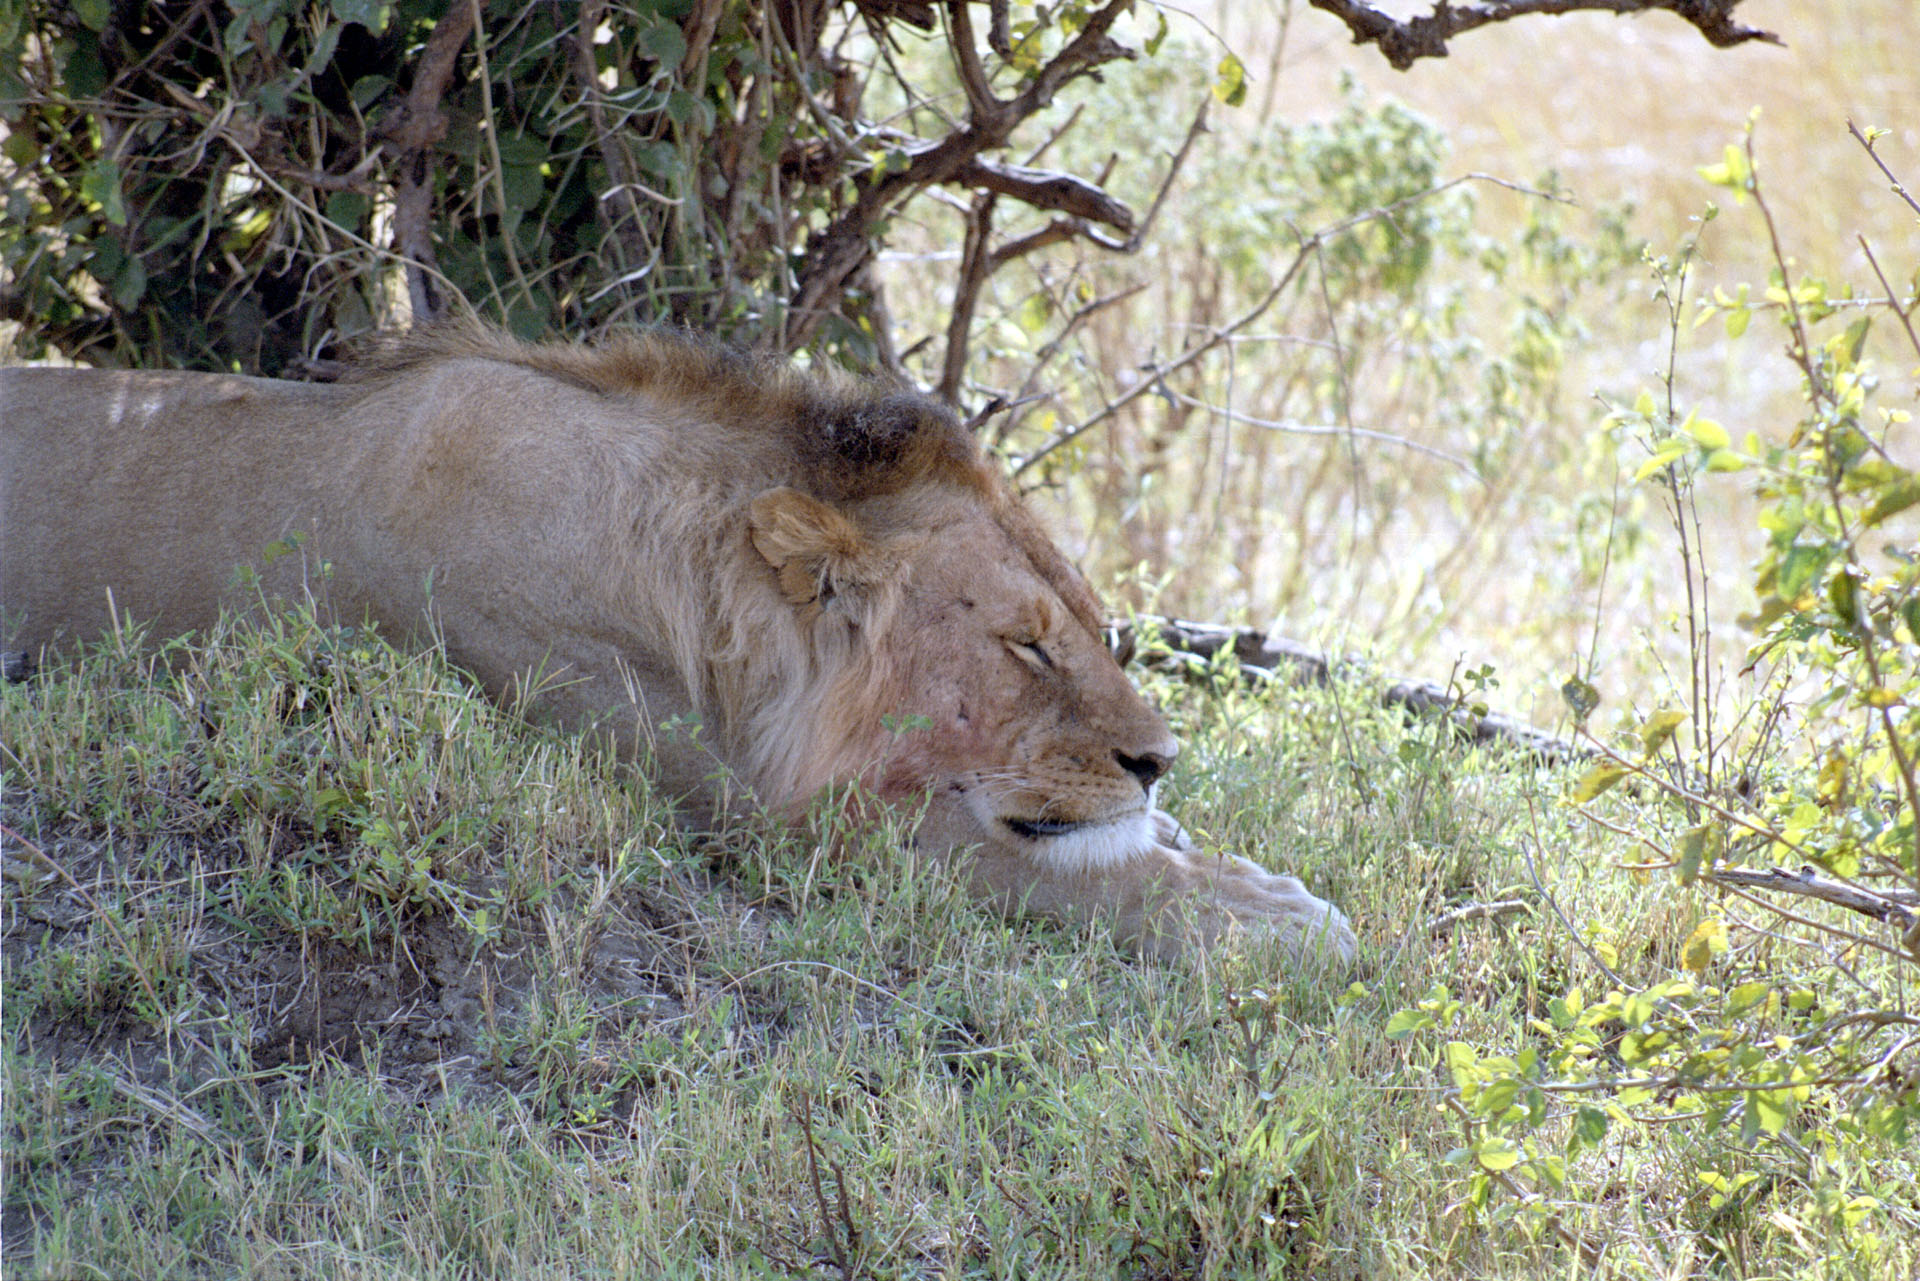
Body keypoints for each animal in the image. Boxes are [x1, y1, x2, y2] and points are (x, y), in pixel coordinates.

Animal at [0, 326, 1359, 967]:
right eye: (1026, 647)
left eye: (1088, 624)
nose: (1159, 762)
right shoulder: (746, 815)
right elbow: (1002, 865)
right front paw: (1269, 923)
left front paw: (1233, 872)